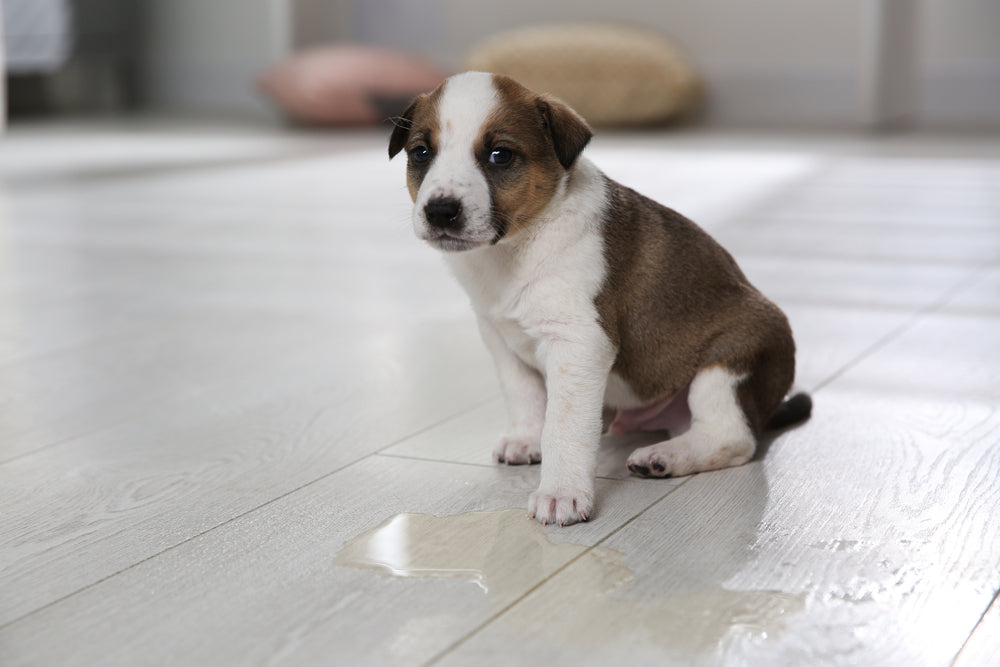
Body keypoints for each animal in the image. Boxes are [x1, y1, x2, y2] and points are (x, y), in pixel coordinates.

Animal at [386, 72, 808, 528]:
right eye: (421, 153)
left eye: (500, 155)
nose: (440, 211)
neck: (516, 249)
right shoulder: (500, 339)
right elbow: (525, 395)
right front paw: (526, 438)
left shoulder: (579, 343)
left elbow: (565, 425)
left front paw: (561, 492)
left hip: (728, 364)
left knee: (732, 436)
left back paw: (665, 456)